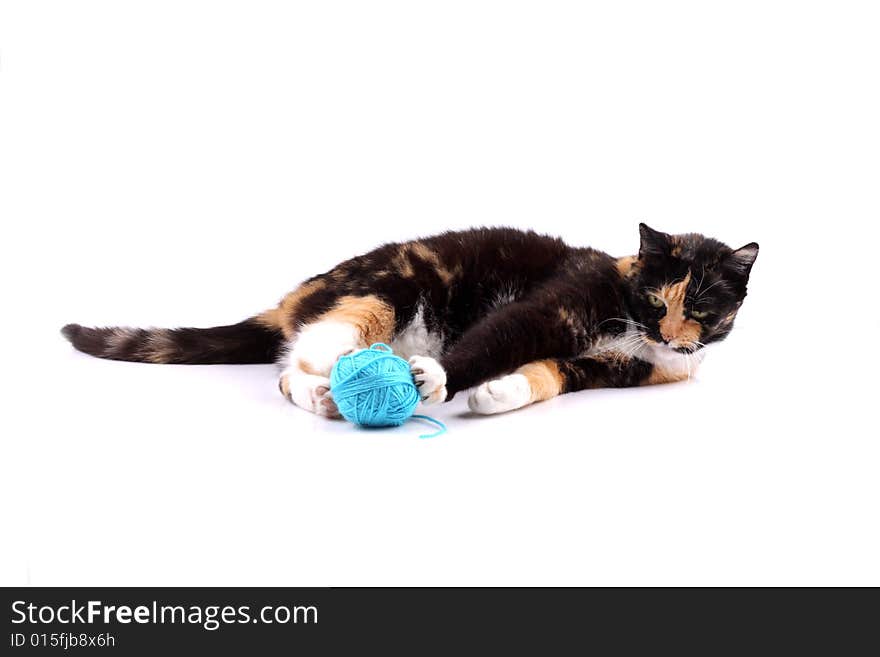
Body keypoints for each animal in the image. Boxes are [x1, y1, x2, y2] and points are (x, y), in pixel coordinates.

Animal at [63, 224, 756, 416]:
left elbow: (554, 373)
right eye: (655, 300)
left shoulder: (616, 370)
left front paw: (498, 395)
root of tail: (295, 294)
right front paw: (437, 378)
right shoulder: (551, 304)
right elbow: (496, 339)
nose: (669, 336)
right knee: (302, 355)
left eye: (701, 309)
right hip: (386, 290)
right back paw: (330, 386)